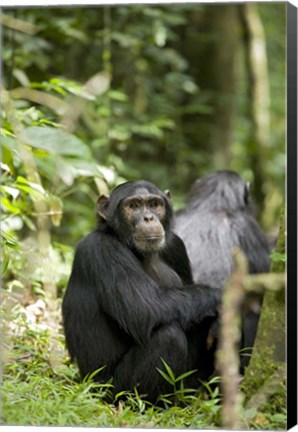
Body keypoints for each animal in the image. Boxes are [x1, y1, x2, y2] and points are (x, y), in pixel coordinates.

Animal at [62, 179, 221, 402]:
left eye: (154, 204)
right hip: (112, 390)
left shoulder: (177, 246)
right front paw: (226, 295)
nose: (148, 218)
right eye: (134, 206)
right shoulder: (102, 249)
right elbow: (145, 309)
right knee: (168, 336)